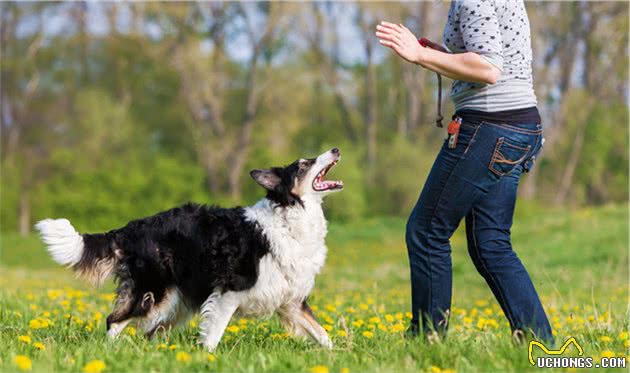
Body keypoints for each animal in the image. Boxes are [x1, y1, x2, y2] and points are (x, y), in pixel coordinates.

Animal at [37, 147, 344, 348]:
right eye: (304, 165)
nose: (335, 149)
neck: (290, 215)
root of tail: (129, 228)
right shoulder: (228, 293)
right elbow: (212, 337)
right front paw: (207, 360)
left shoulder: (291, 302)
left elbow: (323, 335)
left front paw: (338, 356)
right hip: (152, 293)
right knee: (114, 321)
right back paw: (109, 354)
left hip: (174, 303)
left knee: (149, 333)